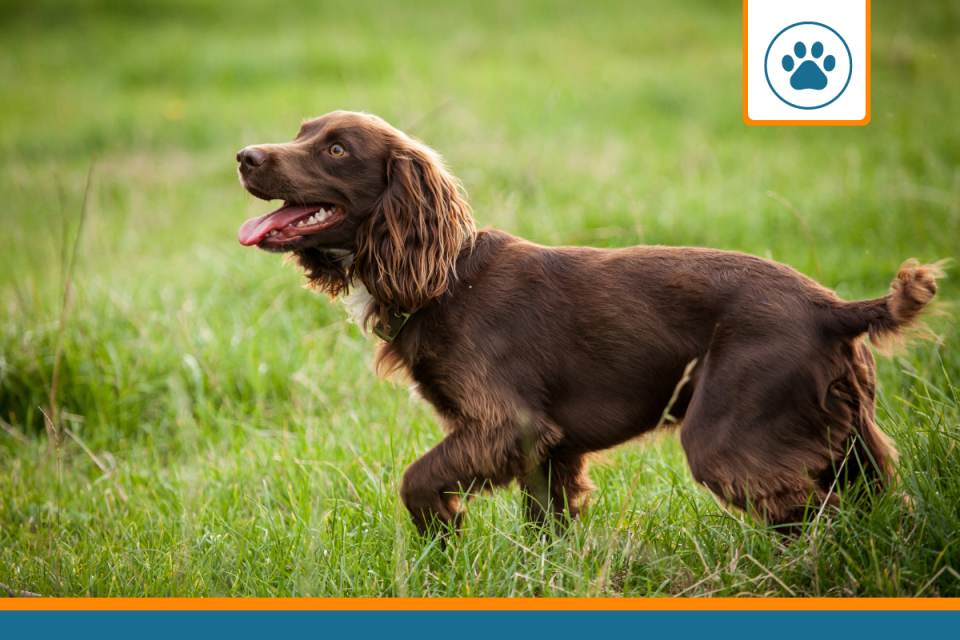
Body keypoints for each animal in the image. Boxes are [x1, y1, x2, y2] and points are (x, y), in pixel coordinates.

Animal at [236, 112, 932, 532]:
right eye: (302, 131)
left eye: (335, 148)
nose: (243, 155)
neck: (445, 278)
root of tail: (833, 309)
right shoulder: (548, 450)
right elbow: (546, 527)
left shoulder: (506, 425)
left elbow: (415, 478)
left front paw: (444, 532)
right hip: (849, 438)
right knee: (877, 504)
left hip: (729, 437)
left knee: (820, 515)